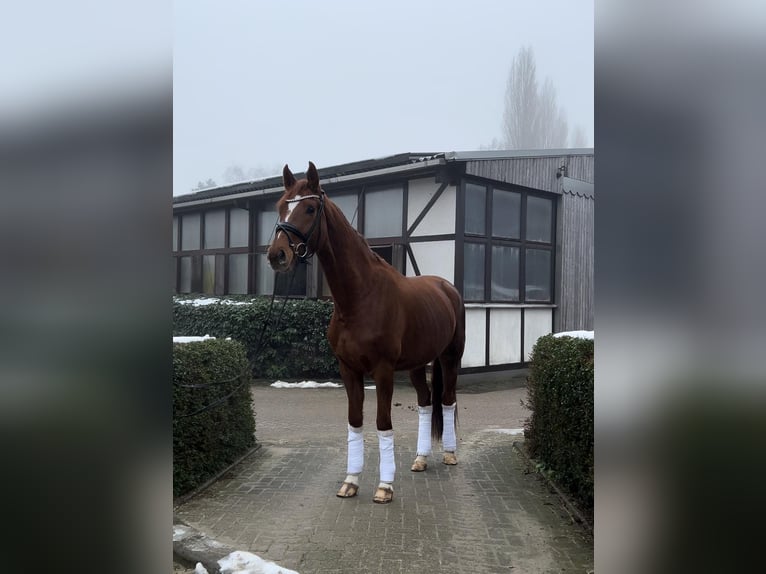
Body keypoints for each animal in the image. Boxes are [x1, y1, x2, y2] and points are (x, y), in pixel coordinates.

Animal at [268, 162, 464, 504]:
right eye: (281, 206)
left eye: (309, 208)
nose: (277, 255)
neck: (360, 298)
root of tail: (446, 288)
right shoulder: (348, 369)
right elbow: (355, 422)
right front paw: (351, 481)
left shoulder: (383, 370)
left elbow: (383, 423)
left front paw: (385, 486)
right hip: (417, 364)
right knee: (426, 402)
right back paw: (421, 459)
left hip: (450, 357)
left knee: (449, 400)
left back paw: (450, 454)